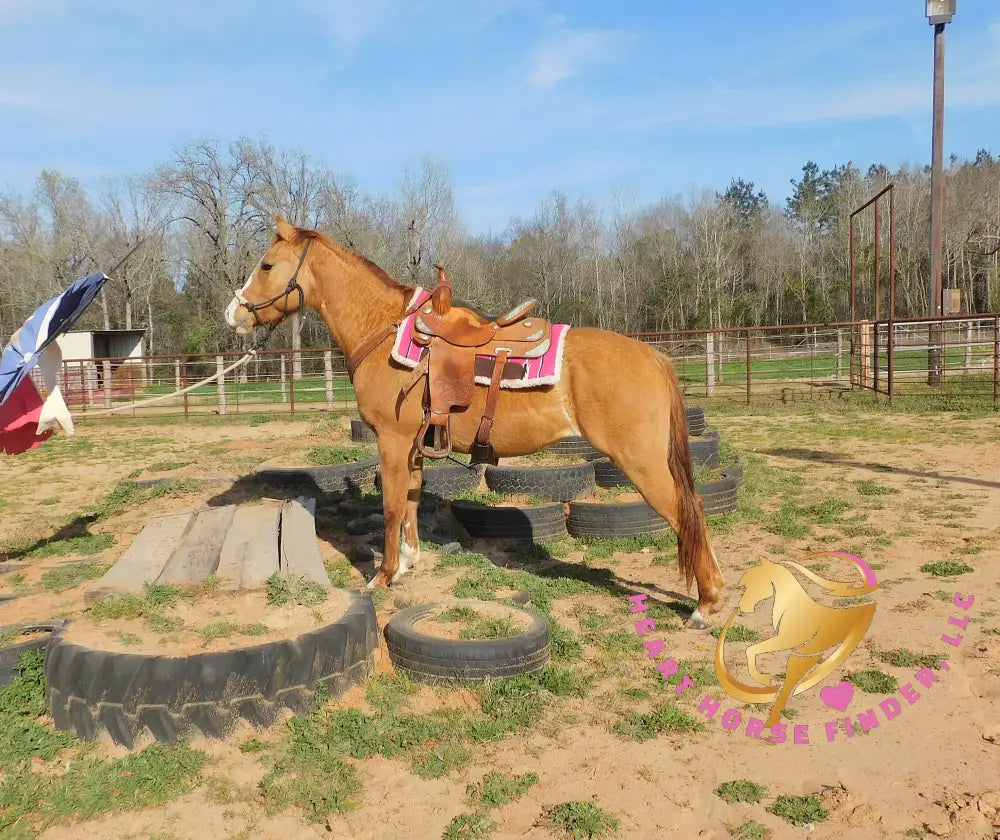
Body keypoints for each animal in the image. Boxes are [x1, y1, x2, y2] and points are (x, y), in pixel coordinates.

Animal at [224, 216, 726, 629]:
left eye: (266, 265)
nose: (233, 314)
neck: (385, 330)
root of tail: (653, 356)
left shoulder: (391, 440)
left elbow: (391, 506)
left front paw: (383, 577)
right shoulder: (414, 444)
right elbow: (411, 500)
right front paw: (408, 562)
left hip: (641, 462)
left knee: (688, 510)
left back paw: (705, 605)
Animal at [716, 555, 878, 726]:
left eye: (754, 582)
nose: (742, 606)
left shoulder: (787, 641)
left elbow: (752, 649)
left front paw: (763, 679)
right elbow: (752, 650)